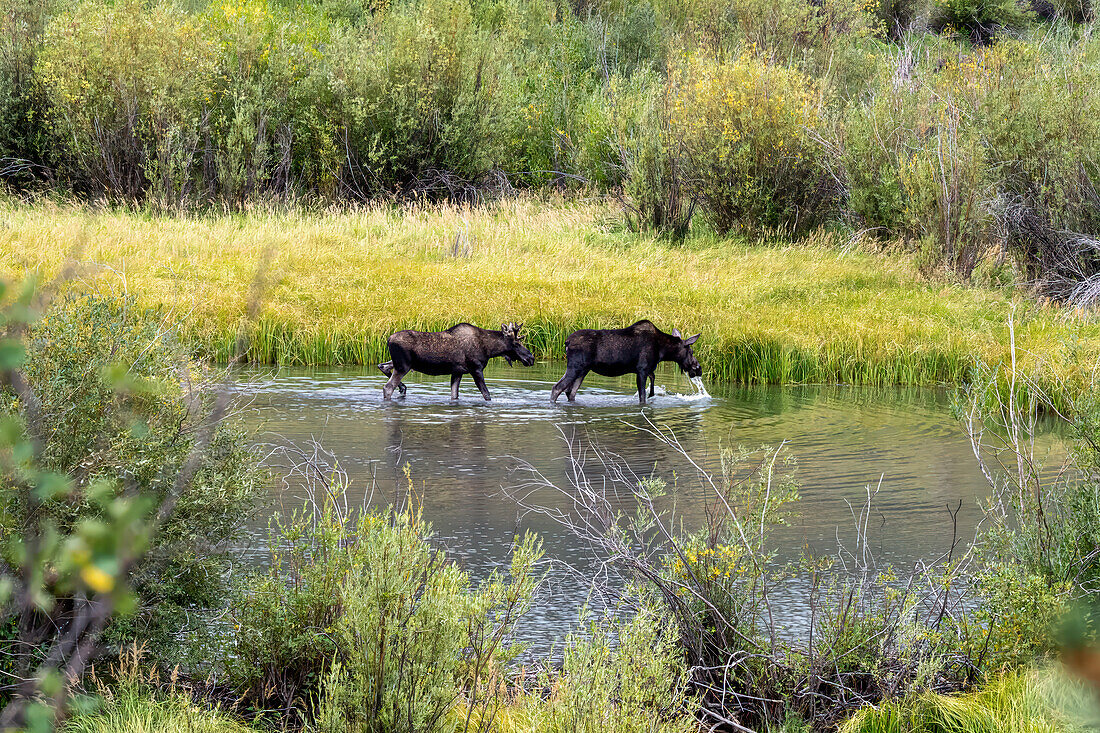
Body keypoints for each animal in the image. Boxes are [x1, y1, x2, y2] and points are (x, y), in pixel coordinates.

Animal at [380, 321, 534, 400]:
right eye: (516, 343)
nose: (531, 358)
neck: (489, 349)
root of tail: (388, 339)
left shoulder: (457, 372)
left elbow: (455, 395)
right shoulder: (476, 369)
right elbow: (486, 394)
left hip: (400, 364)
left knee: (382, 366)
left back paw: (403, 388)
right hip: (403, 366)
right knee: (388, 387)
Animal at [550, 319, 704, 402]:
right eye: (691, 351)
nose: (698, 368)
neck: (663, 351)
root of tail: (566, 342)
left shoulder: (648, 371)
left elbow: (651, 389)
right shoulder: (641, 370)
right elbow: (642, 397)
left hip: (583, 370)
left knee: (570, 392)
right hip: (575, 367)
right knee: (557, 388)